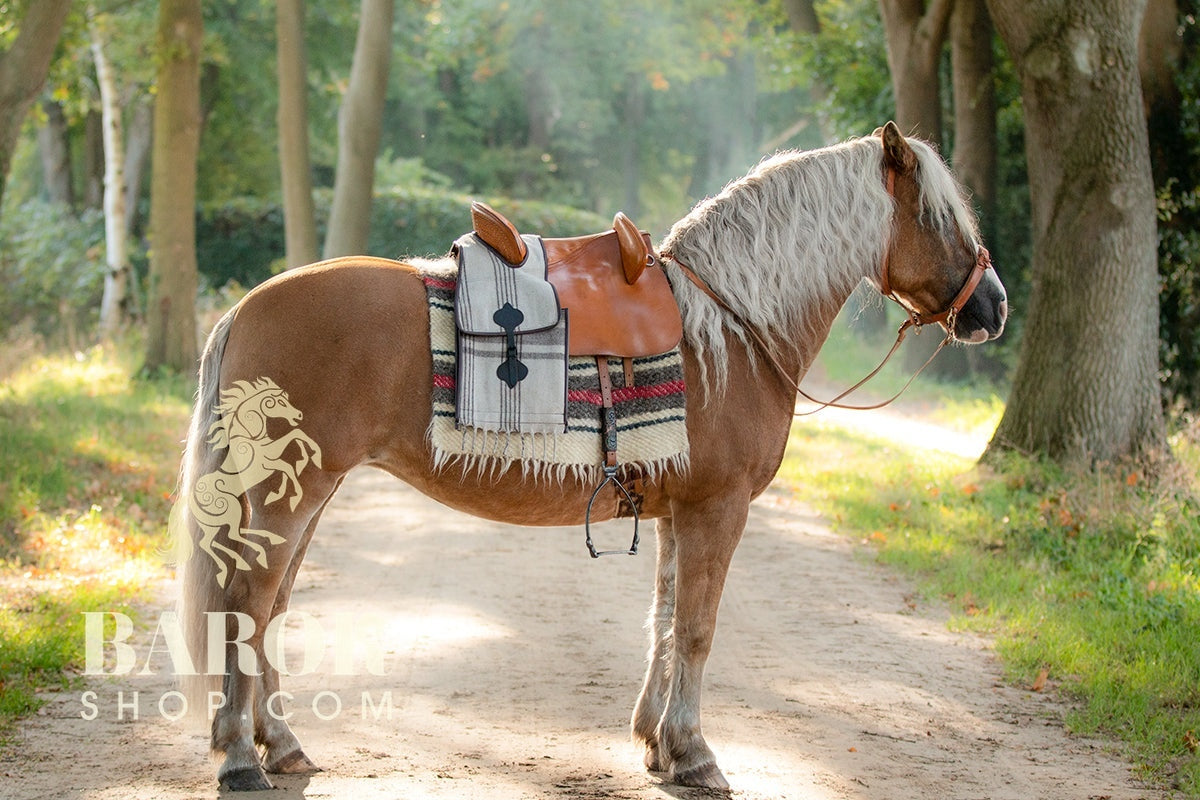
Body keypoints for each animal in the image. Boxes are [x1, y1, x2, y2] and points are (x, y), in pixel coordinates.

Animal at [175, 122, 1003, 791]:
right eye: (937, 217)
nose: (993, 306)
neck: (732, 326)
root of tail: (246, 305)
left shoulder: (679, 511)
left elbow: (664, 622)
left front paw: (659, 744)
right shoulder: (719, 509)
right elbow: (697, 629)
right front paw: (695, 754)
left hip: (304, 494)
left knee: (267, 608)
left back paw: (279, 743)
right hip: (292, 497)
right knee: (248, 604)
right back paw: (241, 759)